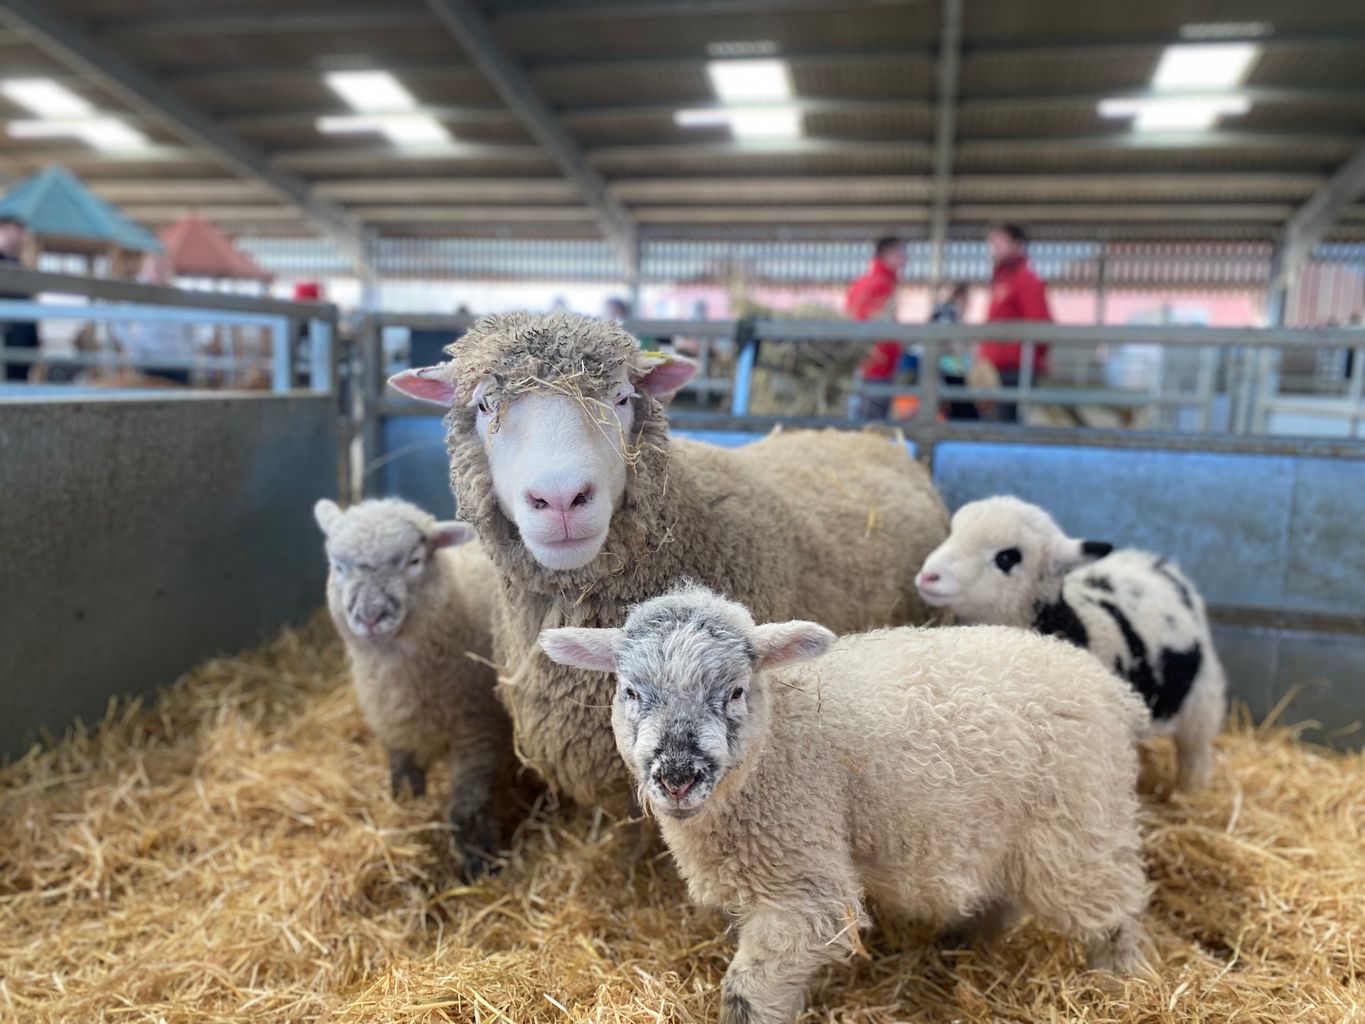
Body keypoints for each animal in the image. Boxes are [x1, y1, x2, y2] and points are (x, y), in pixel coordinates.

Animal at [313, 496, 515, 873]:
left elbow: (468, 801)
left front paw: (477, 857)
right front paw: (406, 805)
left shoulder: (477, 727)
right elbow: (403, 771)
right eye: (338, 566)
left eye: (414, 561)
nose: (370, 617)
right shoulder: (391, 723)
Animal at [540, 584, 1152, 1024]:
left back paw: (1120, 986)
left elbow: (746, 994)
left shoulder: (803, 887)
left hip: (1077, 824)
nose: (677, 778)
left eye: (735, 691)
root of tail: (1115, 692)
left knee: (1114, 912)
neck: (774, 746)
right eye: (630, 692)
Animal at [917, 496, 1228, 791]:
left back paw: (1189, 791)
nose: (928, 576)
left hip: (1202, 698)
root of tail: (1156, 563)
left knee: (1195, 750)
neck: (1075, 623)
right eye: (953, 532)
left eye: (1007, 557)